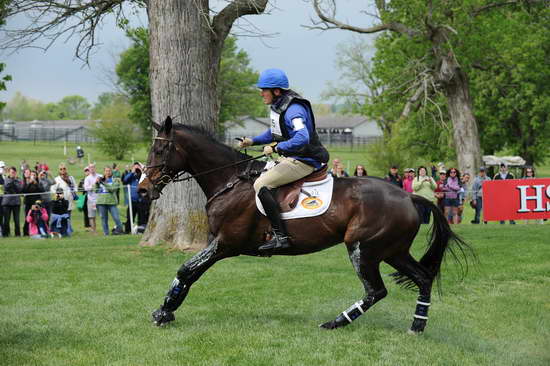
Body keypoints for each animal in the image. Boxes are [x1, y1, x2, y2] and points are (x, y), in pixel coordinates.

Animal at [140, 116, 472, 334]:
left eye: (159, 151)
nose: (143, 189)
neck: (230, 180)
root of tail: (408, 196)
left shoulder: (225, 244)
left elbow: (187, 270)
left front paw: (163, 312)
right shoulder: (218, 243)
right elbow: (188, 271)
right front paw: (165, 310)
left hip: (363, 249)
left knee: (376, 290)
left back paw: (336, 322)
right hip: (392, 251)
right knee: (423, 278)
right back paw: (417, 325)